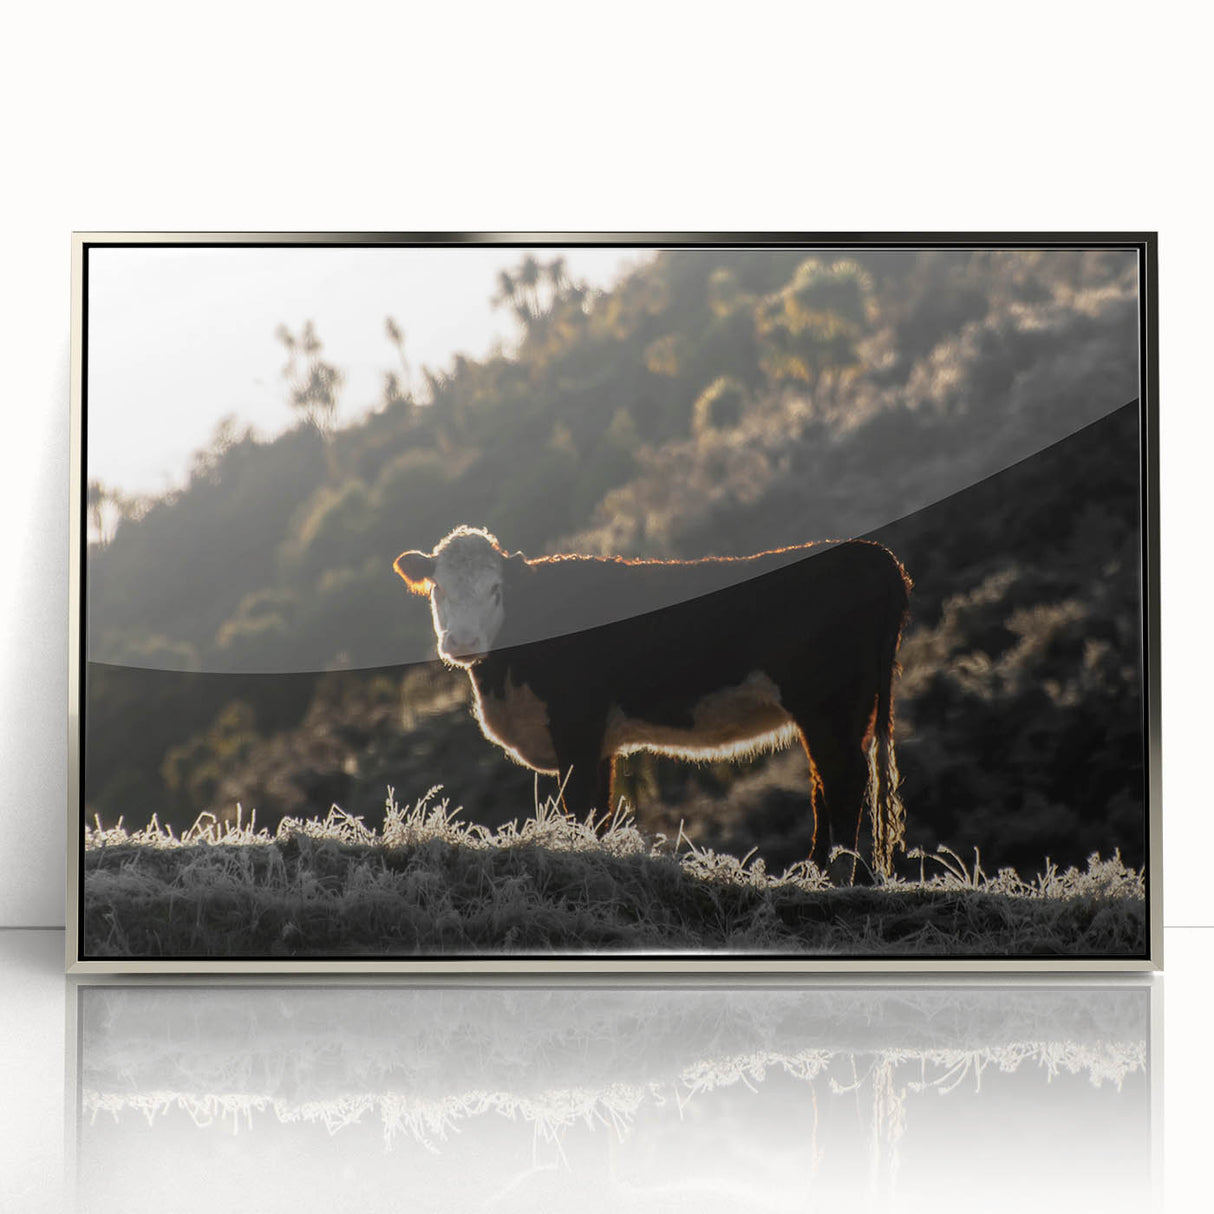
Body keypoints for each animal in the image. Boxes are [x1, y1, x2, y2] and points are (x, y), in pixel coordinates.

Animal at [394, 525, 911, 882]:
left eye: (496, 589)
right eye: (439, 588)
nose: (462, 642)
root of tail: (871, 553)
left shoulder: (576, 727)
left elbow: (579, 805)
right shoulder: (599, 743)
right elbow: (598, 810)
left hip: (828, 704)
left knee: (843, 780)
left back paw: (832, 876)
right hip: (845, 711)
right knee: (829, 782)